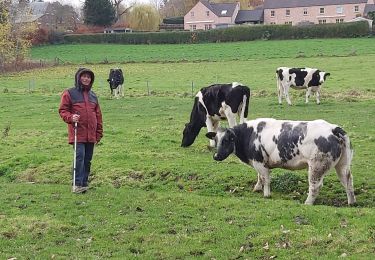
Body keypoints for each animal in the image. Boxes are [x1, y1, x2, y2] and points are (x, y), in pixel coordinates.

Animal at [207, 118, 356, 205]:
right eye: (216, 140)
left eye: (227, 140)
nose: (216, 156)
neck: (249, 134)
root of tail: (334, 129)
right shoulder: (259, 162)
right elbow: (259, 177)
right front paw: (257, 188)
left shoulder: (260, 163)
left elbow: (266, 179)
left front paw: (266, 194)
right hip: (342, 165)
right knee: (348, 181)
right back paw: (351, 202)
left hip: (316, 166)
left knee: (315, 186)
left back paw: (308, 202)